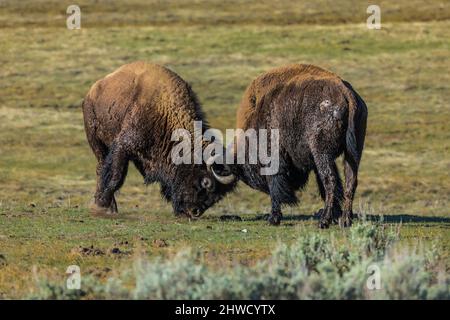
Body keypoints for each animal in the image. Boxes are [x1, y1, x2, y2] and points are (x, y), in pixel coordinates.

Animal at [82, 62, 236, 218]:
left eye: (219, 196)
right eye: (206, 183)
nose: (194, 212)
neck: (165, 111)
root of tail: (93, 90)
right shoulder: (123, 146)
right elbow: (116, 176)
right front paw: (101, 206)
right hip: (96, 141)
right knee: (101, 168)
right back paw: (106, 206)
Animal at [234, 63, 368, 228]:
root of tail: (347, 94)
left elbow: (276, 185)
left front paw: (273, 218)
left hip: (322, 151)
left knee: (330, 181)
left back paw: (324, 221)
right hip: (352, 153)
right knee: (350, 181)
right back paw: (345, 220)